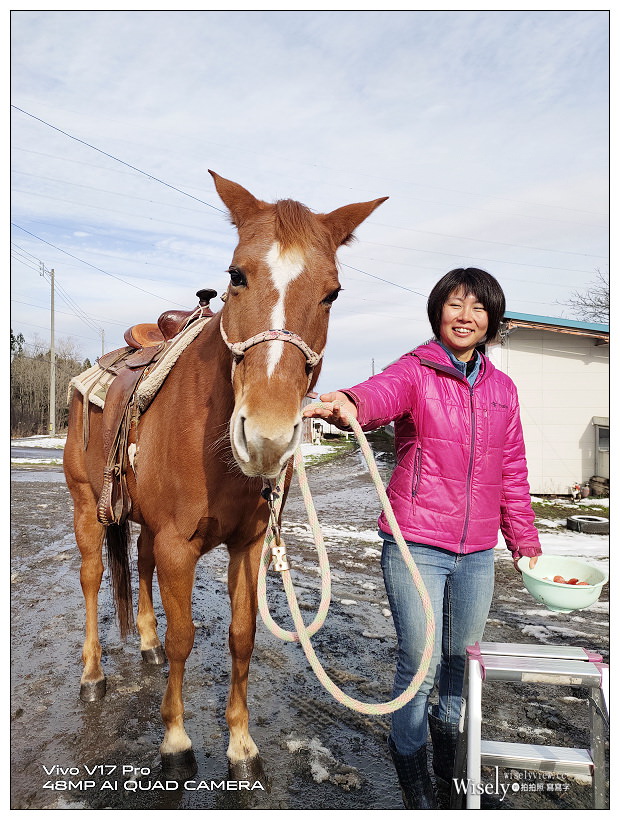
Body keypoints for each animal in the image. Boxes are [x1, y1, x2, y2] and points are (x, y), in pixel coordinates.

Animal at [63, 171, 388, 782]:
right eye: (236, 275)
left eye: (332, 293)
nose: (266, 435)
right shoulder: (179, 545)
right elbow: (185, 638)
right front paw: (175, 740)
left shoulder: (247, 544)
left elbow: (242, 637)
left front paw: (240, 744)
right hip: (86, 504)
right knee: (93, 578)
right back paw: (93, 674)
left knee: (140, 565)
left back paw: (145, 642)